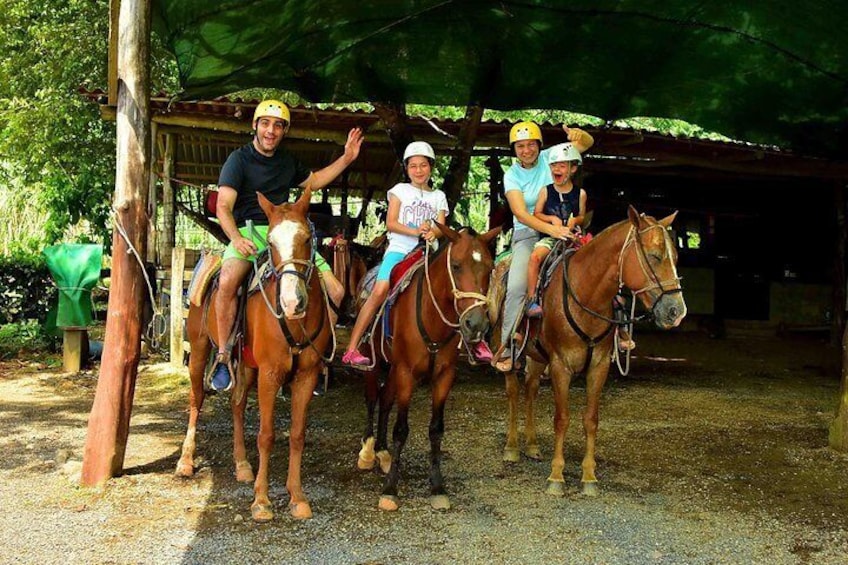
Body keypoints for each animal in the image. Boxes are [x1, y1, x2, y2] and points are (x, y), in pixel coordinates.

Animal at [175, 188, 332, 520]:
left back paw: (242, 464)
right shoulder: (270, 374)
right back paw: (185, 461)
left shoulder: (307, 374)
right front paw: (261, 500)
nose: (292, 302)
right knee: (196, 399)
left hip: (246, 365)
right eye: (270, 242)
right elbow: (266, 434)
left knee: (236, 404)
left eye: (307, 238)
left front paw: (297, 496)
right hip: (199, 349)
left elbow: (297, 434)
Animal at [356, 224, 500, 512]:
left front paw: (437, 487)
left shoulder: (444, 376)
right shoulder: (406, 372)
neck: (433, 317)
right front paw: (390, 489)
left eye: (490, 268)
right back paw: (367, 452)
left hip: (393, 366)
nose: (476, 324)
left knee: (385, 401)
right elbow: (401, 429)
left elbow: (436, 430)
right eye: (456, 266)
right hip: (373, 361)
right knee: (371, 398)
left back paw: (383, 452)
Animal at [494, 206, 684, 494]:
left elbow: (591, 419)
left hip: (537, 356)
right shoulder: (561, 366)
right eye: (654, 256)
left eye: (675, 257)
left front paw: (589, 477)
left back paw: (533, 445)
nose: (677, 311)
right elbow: (562, 418)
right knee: (514, 392)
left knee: (531, 390)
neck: (587, 294)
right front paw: (556, 477)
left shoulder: (599, 366)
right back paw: (512, 447)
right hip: (511, 350)